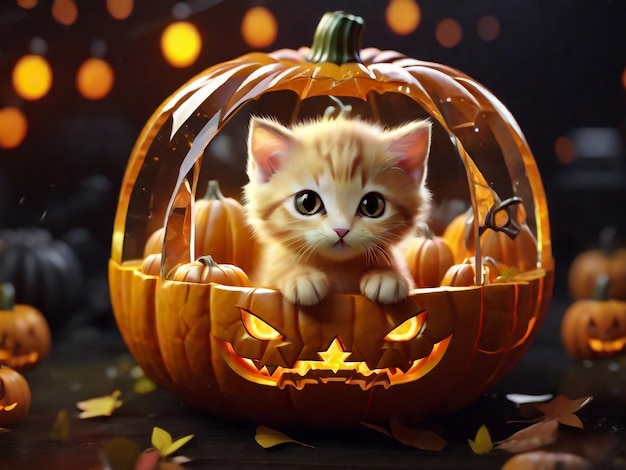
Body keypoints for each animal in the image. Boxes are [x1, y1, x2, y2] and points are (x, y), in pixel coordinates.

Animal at [243, 114, 428, 304]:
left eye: (372, 205)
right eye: (307, 202)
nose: (341, 230)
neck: (338, 268)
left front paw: (386, 275)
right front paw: (300, 276)